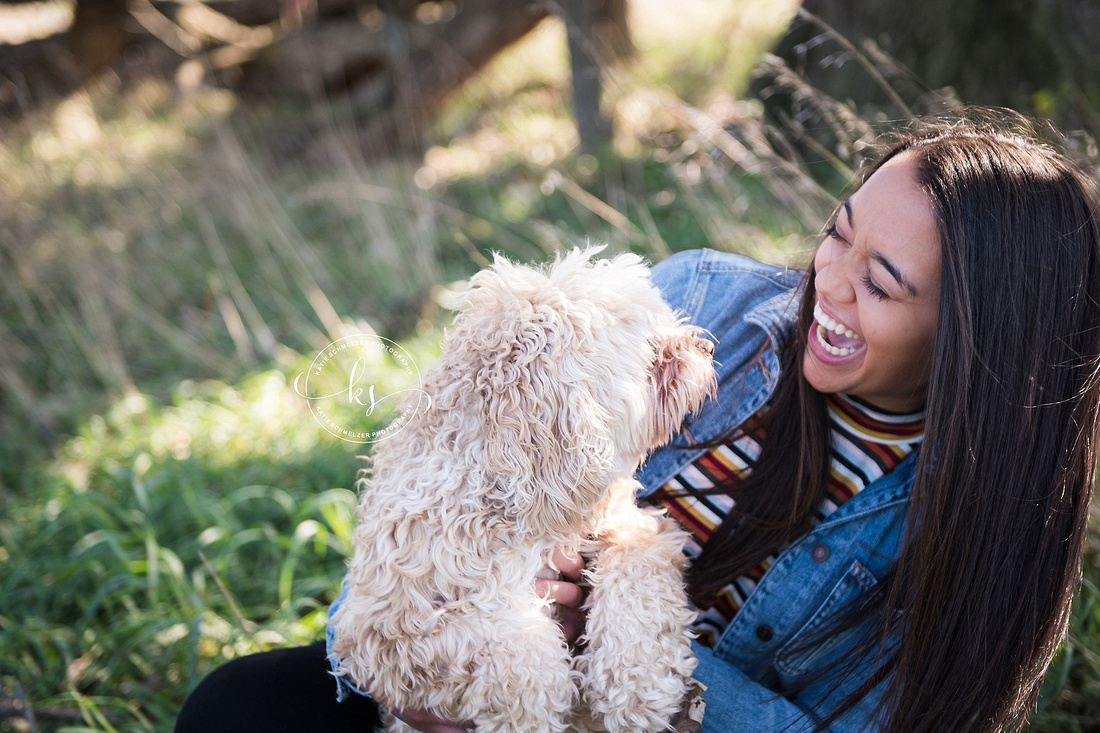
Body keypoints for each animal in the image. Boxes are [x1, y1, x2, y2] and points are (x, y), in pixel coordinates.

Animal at [330, 246, 717, 730]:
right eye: (653, 350)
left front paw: (638, 689)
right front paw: (540, 705)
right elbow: (517, 654)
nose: (704, 346)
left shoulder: (635, 529)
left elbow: (636, 579)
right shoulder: (386, 630)